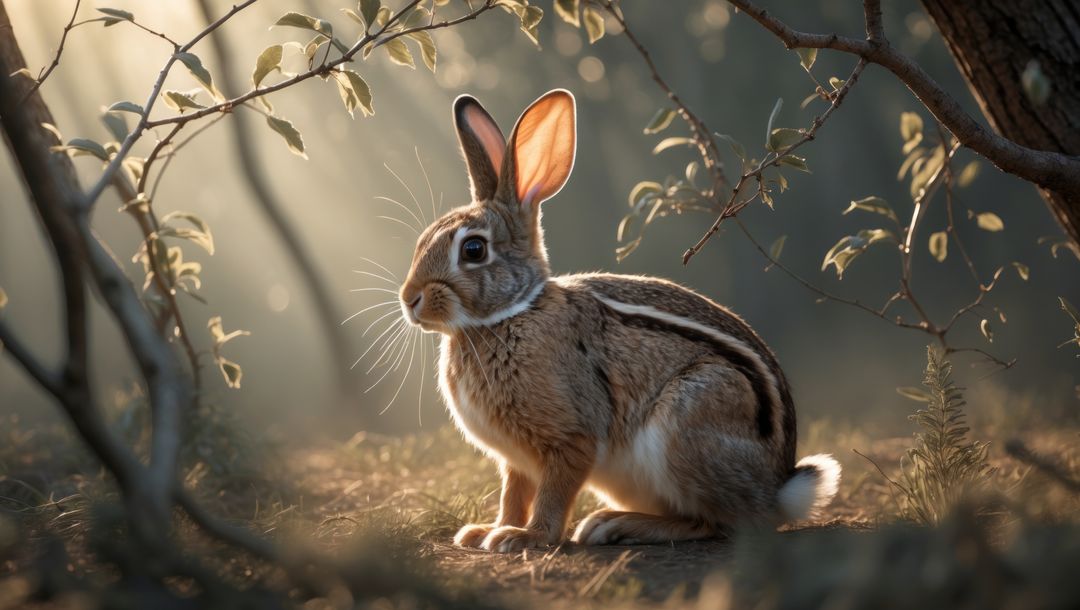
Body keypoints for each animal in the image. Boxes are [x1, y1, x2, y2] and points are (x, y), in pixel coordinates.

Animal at [397, 89, 841, 553]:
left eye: (474, 250)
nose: (409, 300)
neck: (513, 310)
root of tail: (779, 489)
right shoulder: (514, 461)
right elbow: (514, 493)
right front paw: (487, 532)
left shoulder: (571, 438)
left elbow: (553, 493)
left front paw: (526, 538)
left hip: (687, 422)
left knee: (718, 523)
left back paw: (612, 525)